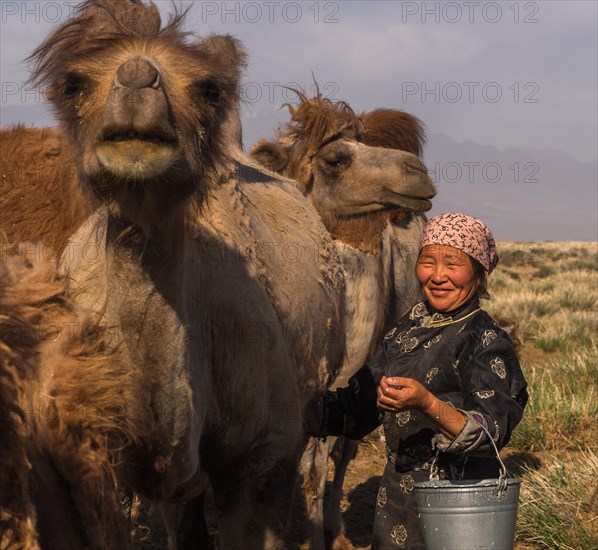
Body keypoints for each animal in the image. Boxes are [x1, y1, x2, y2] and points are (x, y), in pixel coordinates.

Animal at [248, 97, 436, 548]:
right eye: (335, 159)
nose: (417, 172)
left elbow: (318, 463)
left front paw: (321, 536)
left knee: (341, 451)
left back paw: (335, 527)